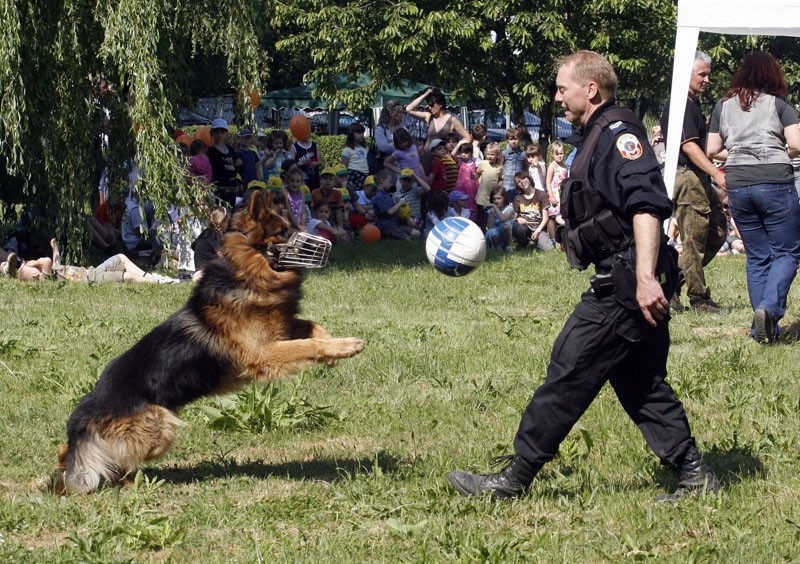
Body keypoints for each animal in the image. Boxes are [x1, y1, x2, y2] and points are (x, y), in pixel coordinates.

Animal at [56, 192, 366, 492]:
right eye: (283, 232)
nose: (327, 244)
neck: (247, 272)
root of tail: (82, 417)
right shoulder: (264, 354)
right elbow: (305, 345)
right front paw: (346, 346)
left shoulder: (281, 327)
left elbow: (314, 327)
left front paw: (333, 352)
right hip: (160, 425)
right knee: (114, 462)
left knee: (70, 454)